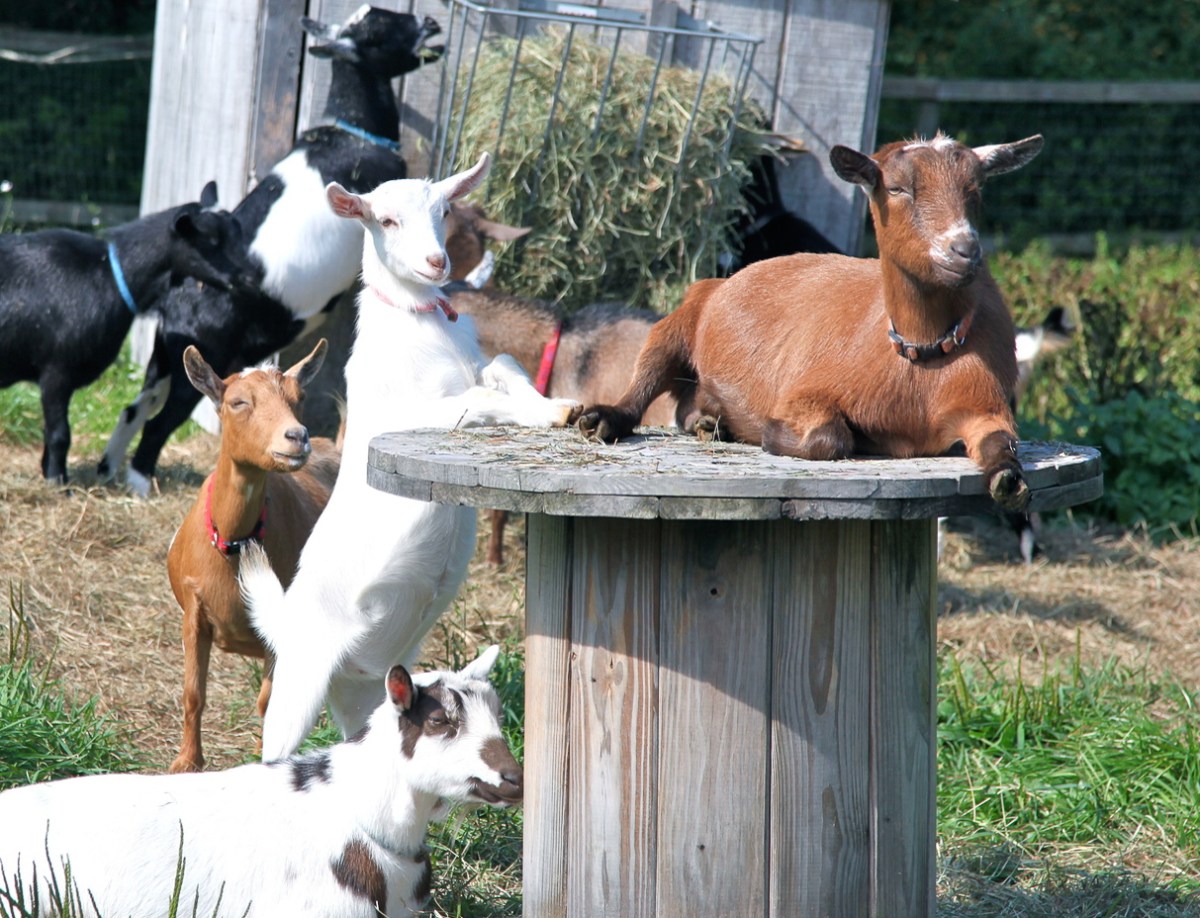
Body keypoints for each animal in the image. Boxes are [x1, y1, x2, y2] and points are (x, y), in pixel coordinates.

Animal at [0, 182, 250, 483]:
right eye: (210, 241)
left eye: (236, 231)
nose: (248, 276)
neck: (106, 273)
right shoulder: (56, 371)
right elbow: (60, 434)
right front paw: (59, 482)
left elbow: (51, 434)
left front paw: (51, 472)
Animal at [98, 5, 443, 496]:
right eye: (379, 32)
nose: (431, 23)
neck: (353, 135)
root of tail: (179, 298)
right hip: (200, 358)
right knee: (159, 421)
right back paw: (140, 481)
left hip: (165, 355)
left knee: (136, 404)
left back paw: (108, 467)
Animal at [165, 340, 339, 774]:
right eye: (238, 401)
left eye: (299, 398)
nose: (297, 436)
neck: (235, 544)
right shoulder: (193, 612)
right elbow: (193, 693)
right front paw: (186, 762)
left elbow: (268, 703)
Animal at [240, 153, 580, 761]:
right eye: (385, 220)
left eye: (443, 210)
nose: (436, 261)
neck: (419, 322)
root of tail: (289, 620)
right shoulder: (410, 415)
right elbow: (483, 397)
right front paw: (549, 414)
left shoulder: (480, 366)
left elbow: (505, 367)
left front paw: (559, 406)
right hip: (297, 688)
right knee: (275, 748)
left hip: (360, 693)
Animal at [579, 133, 1044, 513]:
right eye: (897, 188)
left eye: (975, 190)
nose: (964, 249)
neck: (918, 355)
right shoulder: (803, 393)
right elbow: (830, 437)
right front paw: (770, 433)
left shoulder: (983, 403)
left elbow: (1000, 440)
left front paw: (1007, 477)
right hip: (677, 323)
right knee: (644, 382)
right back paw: (604, 419)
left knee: (683, 408)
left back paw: (710, 421)